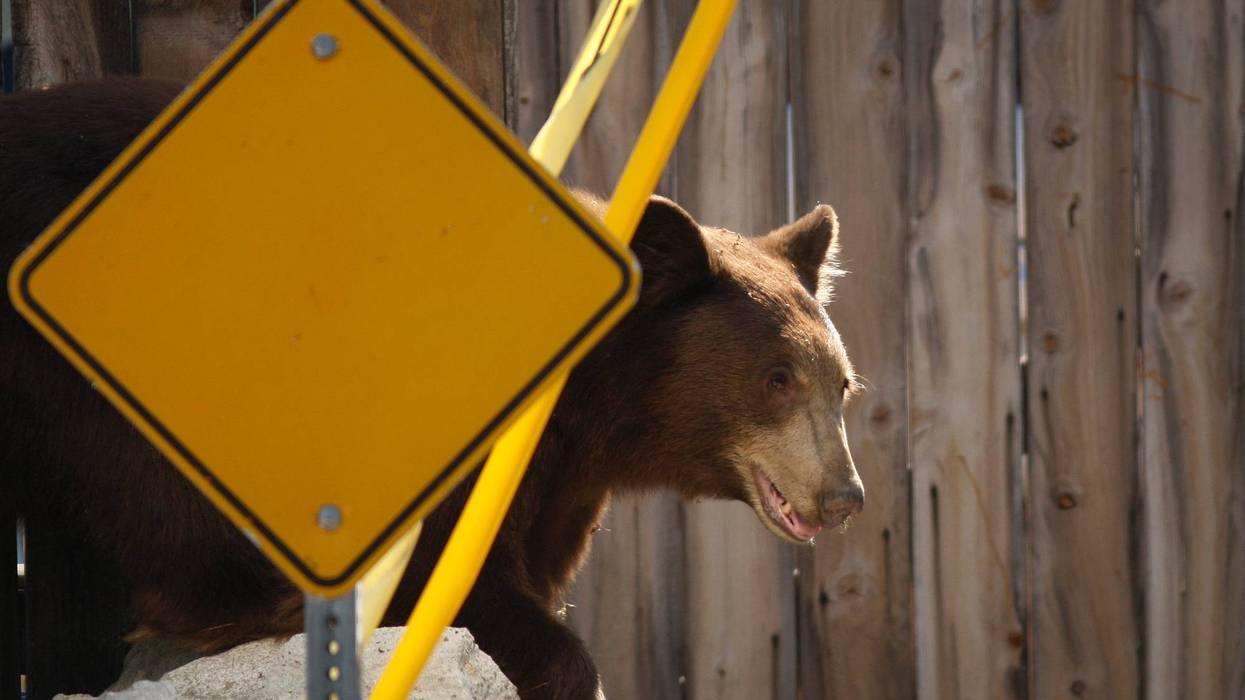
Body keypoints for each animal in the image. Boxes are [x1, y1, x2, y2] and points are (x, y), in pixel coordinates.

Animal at [0, 78, 864, 699]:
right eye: (776, 378)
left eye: (841, 385)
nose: (844, 495)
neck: (590, 404)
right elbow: (451, 584)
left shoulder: (561, 477)